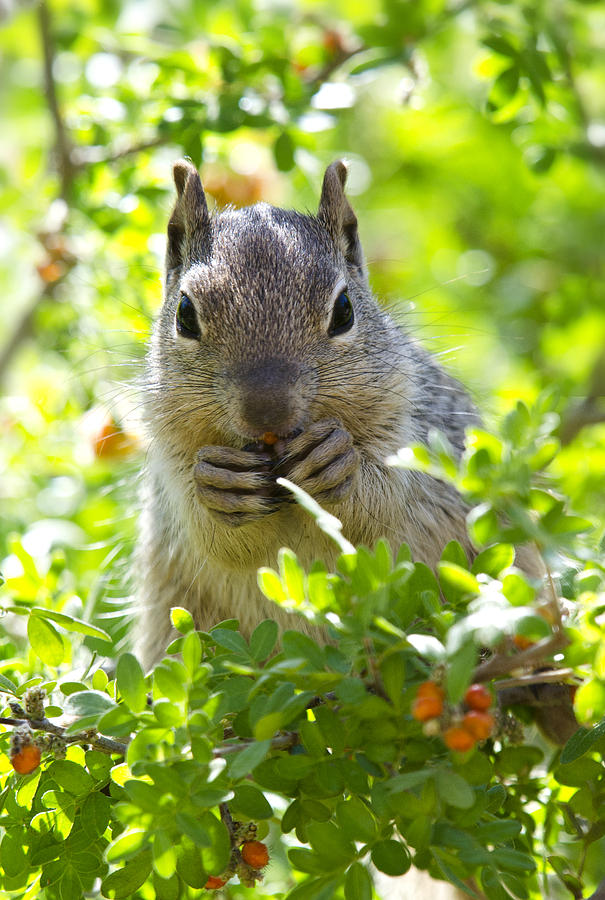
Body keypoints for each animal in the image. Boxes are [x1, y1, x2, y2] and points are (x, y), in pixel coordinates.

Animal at [134, 160, 478, 668]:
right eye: (185, 314)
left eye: (344, 310)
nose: (267, 412)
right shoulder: (171, 467)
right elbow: (211, 534)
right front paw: (219, 484)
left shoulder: (413, 430)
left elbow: (386, 501)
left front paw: (337, 462)